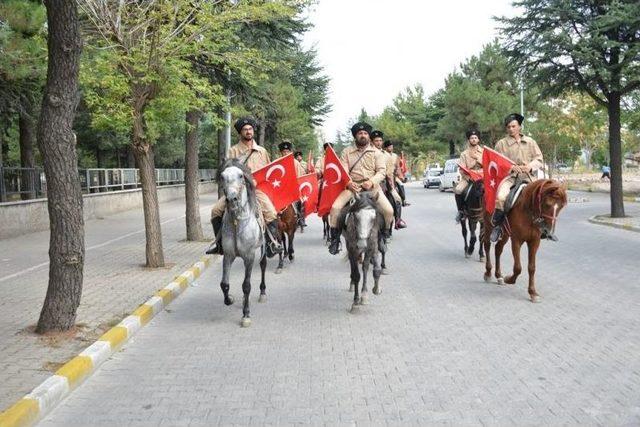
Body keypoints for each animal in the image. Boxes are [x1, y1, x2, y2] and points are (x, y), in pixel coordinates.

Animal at [219, 159, 266, 330]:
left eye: (241, 175)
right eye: (222, 176)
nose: (232, 199)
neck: (236, 222)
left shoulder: (249, 256)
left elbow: (246, 285)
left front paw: (246, 315)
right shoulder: (228, 256)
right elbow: (224, 284)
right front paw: (229, 299)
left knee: (263, 265)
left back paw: (262, 293)